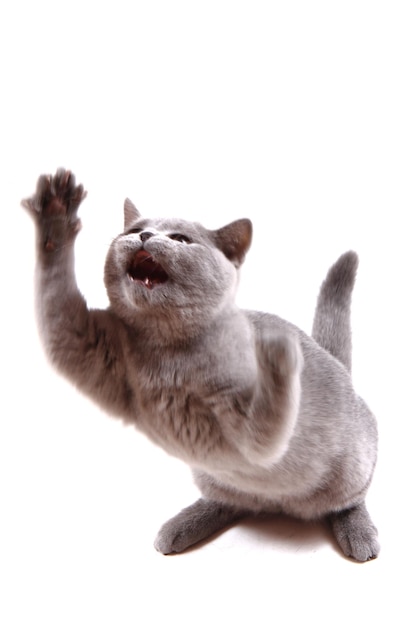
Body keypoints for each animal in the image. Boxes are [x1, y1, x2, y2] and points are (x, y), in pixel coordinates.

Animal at [23, 167, 380, 560]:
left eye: (180, 239)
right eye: (134, 231)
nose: (145, 236)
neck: (166, 353)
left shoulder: (257, 437)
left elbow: (271, 411)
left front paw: (278, 344)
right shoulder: (82, 342)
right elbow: (56, 301)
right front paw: (56, 214)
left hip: (353, 464)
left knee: (350, 499)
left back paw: (359, 535)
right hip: (213, 475)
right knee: (233, 501)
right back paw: (183, 526)